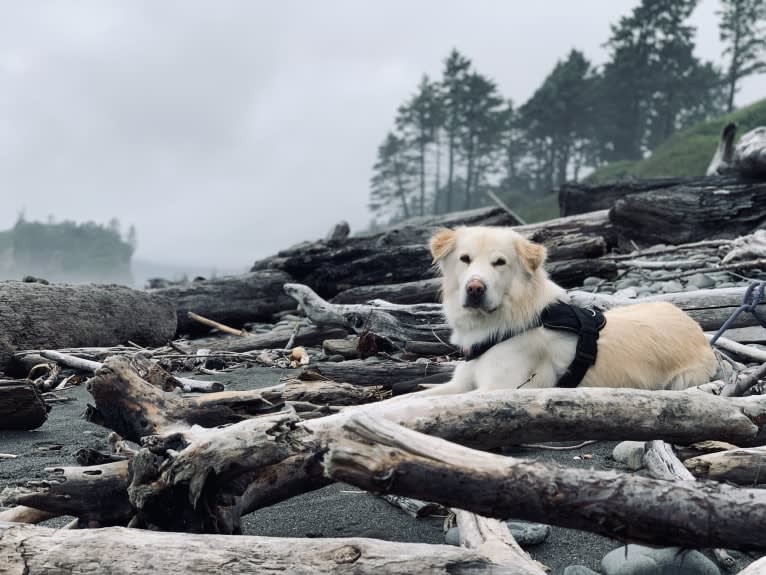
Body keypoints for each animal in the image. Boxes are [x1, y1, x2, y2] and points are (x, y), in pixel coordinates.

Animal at [414, 225, 720, 396]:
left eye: (500, 262)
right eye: (465, 259)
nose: (475, 288)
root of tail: (693, 324)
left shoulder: (497, 389)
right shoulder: (461, 383)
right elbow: (413, 398)